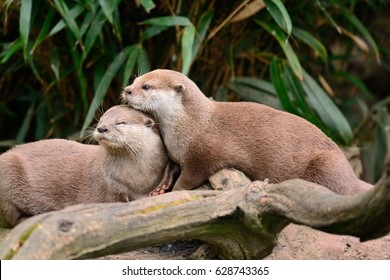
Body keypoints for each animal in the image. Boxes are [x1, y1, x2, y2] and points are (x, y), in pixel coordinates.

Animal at [0, 105, 179, 228]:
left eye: (121, 122)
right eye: (101, 120)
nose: (102, 128)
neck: (137, 177)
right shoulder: (107, 186)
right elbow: (114, 204)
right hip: (7, 171)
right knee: (11, 217)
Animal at [122, 68, 372, 195]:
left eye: (146, 86)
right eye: (135, 79)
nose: (126, 90)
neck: (191, 125)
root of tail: (350, 173)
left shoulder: (202, 155)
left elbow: (190, 177)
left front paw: (175, 191)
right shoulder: (176, 152)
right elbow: (170, 167)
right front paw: (160, 187)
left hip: (326, 163)